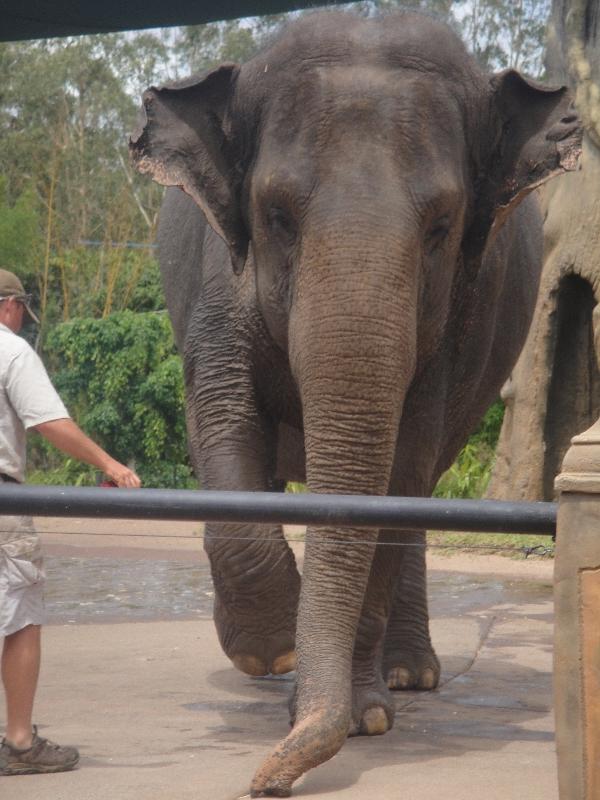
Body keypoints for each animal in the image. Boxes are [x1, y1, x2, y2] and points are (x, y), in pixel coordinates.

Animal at [130, 9, 580, 796]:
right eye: (276, 214)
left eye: (442, 226)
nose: (266, 781)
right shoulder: (221, 285)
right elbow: (223, 417)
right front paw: (270, 650)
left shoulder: (457, 323)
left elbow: (404, 462)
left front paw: (363, 716)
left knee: (422, 494)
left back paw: (408, 676)